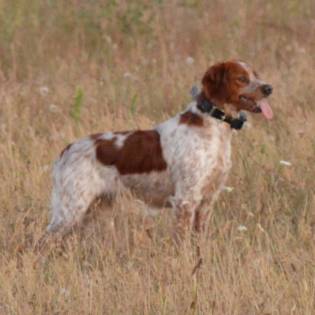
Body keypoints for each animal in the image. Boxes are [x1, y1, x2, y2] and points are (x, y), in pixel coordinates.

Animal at [47, 61, 274, 239]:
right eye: (242, 78)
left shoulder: (207, 201)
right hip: (70, 210)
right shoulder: (186, 199)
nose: (269, 88)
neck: (214, 128)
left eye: (256, 75)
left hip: (90, 210)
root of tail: (66, 150)